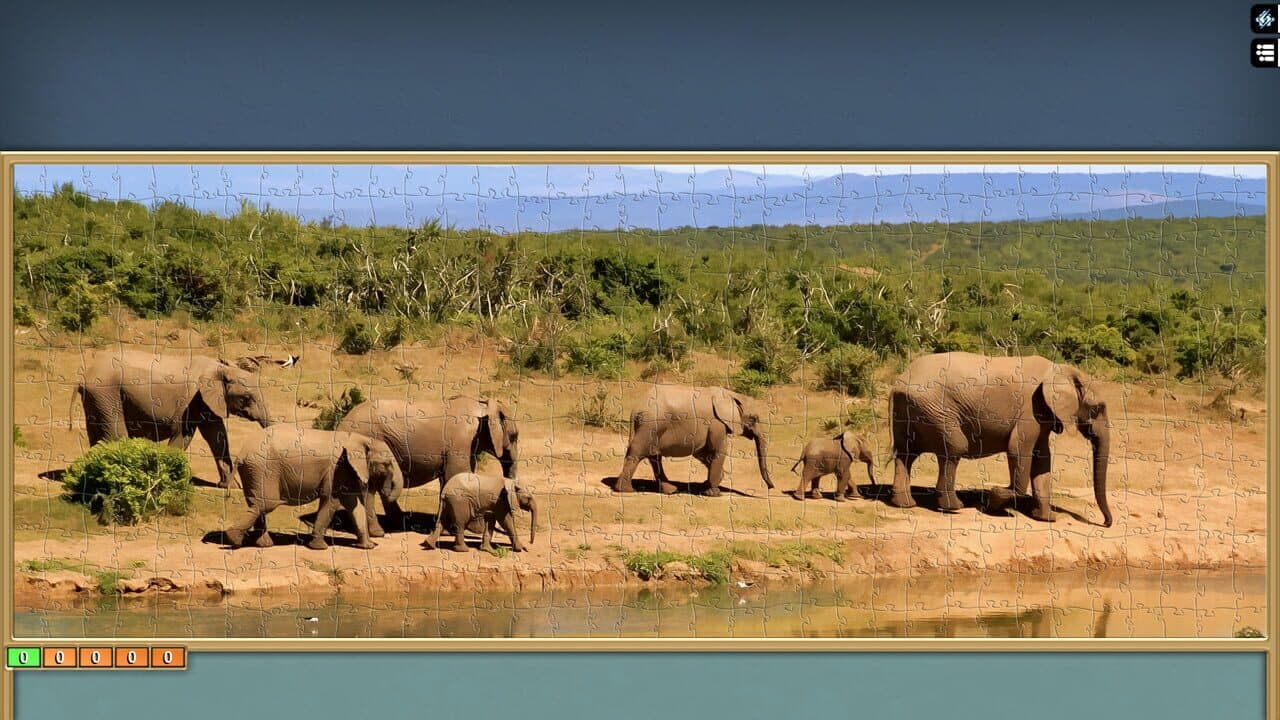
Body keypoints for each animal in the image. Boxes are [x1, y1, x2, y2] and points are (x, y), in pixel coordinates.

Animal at [74, 349, 275, 488]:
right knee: (117, 434)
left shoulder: (207, 402)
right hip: (106, 393)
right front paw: (167, 481)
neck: (220, 369)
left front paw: (229, 486)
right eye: (246, 398)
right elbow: (184, 435)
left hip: (97, 398)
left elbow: (217, 436)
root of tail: (84, 376)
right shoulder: (191, 400)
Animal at [223, 426, 405, 550]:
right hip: (263, 470)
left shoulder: (345, 471)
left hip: (253, 472)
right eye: (387, 464)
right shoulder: (337, 468)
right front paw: (320, 547)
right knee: (266, 504)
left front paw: (368, 546)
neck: (360, 439)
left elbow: (354, 505)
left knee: (257, 504)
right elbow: (331, 501)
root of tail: (241, 453)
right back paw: (234, 539)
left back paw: (263, 544)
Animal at [336, 395, 518, 530]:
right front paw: (475, 530)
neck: (483, 405)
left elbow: (449, 480)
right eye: (514, 436)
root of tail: (343, 422)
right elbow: (457, 475)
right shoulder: (461, 442)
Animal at [613, 385, 775, 496]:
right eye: (754, 418)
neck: (731, 394)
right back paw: (626, 490)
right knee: (638, 452)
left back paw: (670, 490)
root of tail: (635, 410)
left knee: (654, 456)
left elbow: (702, 452)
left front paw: (708, 483)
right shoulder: (717, 423)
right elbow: (718, 450)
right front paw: (714, 492)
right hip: (651, 425)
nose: (771, 487)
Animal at [888, 352, 1112, 527]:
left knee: (907, 454)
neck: (1060, 370)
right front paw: (995, 500)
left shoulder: (1043, 414)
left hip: (911, 411)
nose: (1105, 523)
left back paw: (905, 504)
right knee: (954, 447)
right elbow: (1017, 450)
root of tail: (898, 382)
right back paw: (954, 507)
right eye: (1097, 408)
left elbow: (1042, 461)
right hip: (935, 409)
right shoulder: (1030, 409)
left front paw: (1046, 518)